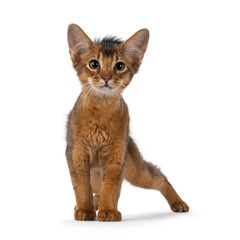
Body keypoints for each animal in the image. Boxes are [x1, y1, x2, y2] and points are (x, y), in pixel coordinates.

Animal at [65, 24, 189, 221]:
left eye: (119, 66)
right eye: (94, 64)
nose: (106, 77)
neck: (100, 112)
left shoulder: (117, 157)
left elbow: (111, 187)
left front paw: (109, 211)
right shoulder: (76, 154)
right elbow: (81, 188)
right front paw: (85, 210)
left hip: (135, 169)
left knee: (159, 177)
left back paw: (178, 203)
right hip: (95, 173)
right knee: (96, 189)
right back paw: (93, 205)